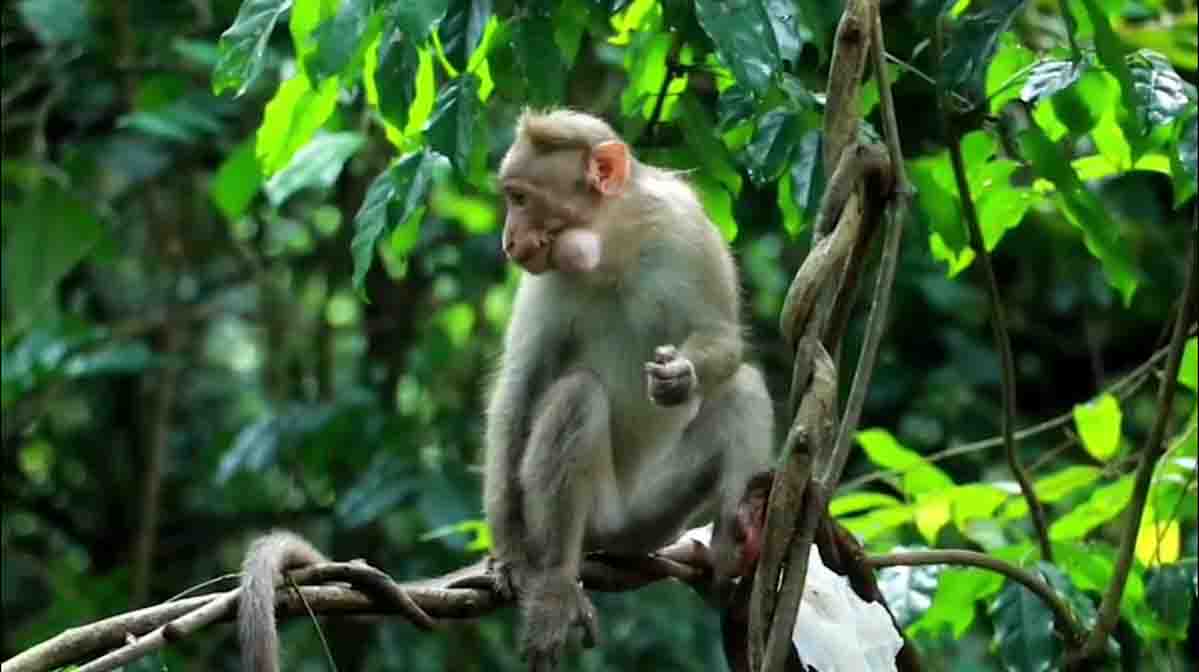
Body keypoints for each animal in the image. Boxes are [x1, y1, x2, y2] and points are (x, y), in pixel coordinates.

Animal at [484, 109, 775, 670]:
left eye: (520, 198)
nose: (507, 241)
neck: (613, 244)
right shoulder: (546, 282)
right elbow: (522, 389)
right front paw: (508, 557)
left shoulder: (690, 230)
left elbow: (722, 338)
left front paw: (680, 376)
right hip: (598, 514)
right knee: (576, 398)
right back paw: (556, 581)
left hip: (653, 517)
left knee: (743, 388)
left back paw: (736, 540)